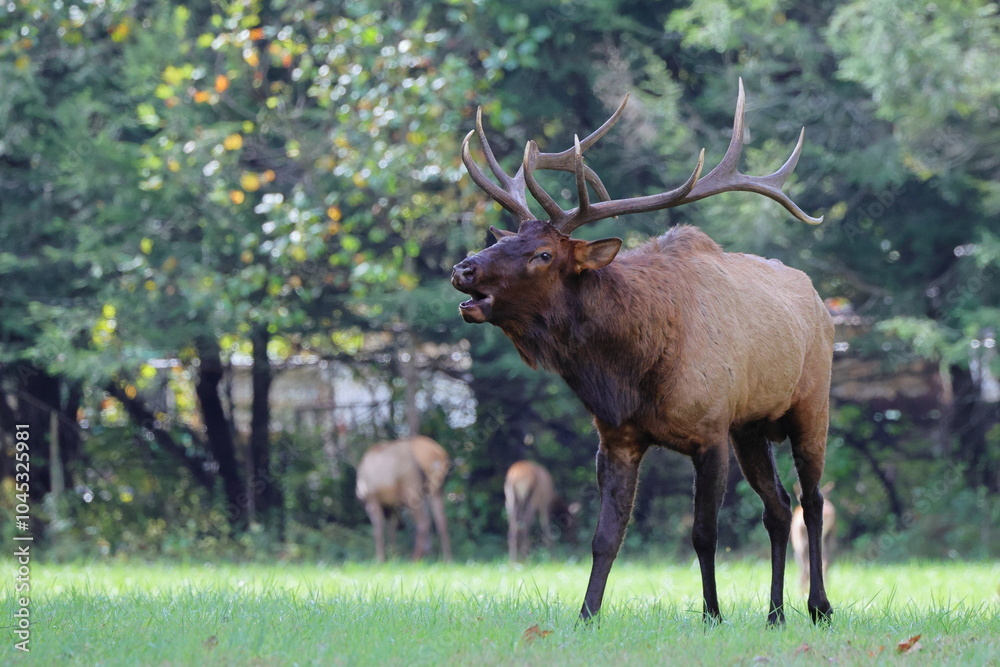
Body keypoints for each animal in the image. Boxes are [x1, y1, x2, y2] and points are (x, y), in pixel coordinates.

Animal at [451, 79, 834, 625]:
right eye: (509, 239)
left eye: (543, 254)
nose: (463, 269)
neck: (631, 371)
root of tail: (819, 301)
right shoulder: (618, 437)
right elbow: (604, 538)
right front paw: (586, 615)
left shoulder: (710, 430)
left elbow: (704, 534)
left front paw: (712, 615)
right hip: (752, 426)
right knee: (778, 508)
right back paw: (775, 613)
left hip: (810, 405)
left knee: (812, 499)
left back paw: (818, 605)